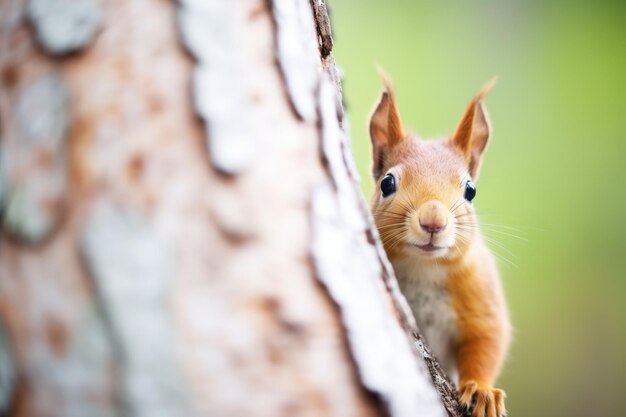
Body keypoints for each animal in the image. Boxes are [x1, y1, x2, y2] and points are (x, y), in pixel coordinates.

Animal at [368, 71, 510, 416]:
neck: (423, 267)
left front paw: (483, 391)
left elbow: (487, 339)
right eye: (387, 183)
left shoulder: (479, 289)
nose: (433, 221)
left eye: (470, 190)